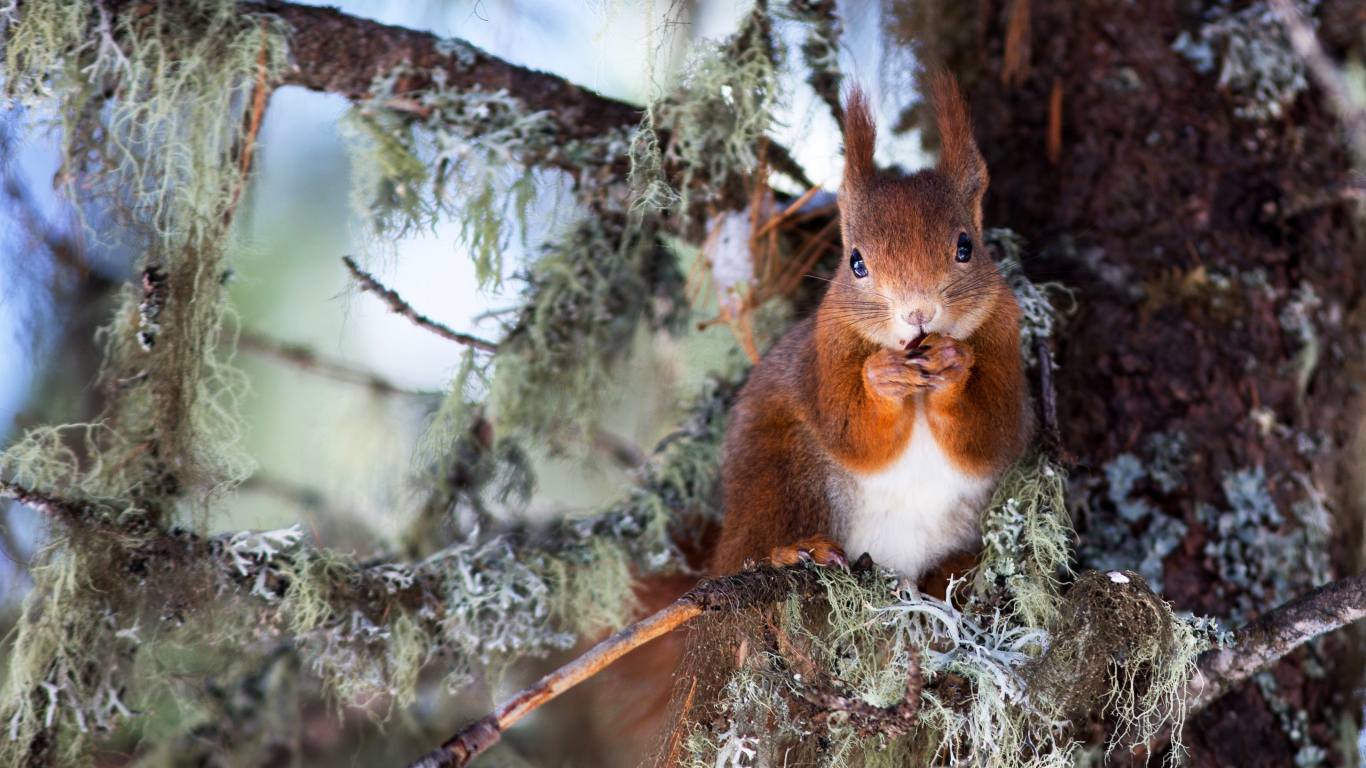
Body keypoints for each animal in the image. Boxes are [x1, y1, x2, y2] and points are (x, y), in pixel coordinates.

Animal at [710, 73, 1027, 579]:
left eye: (966, 247)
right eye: (856, 262)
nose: (918, 312)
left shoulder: (1004, 337)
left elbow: (990, 432)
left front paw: (953, 363)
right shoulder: (826, 354)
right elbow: (853, 433)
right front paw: (881, 377)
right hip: (777, 473)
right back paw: (795, 550)